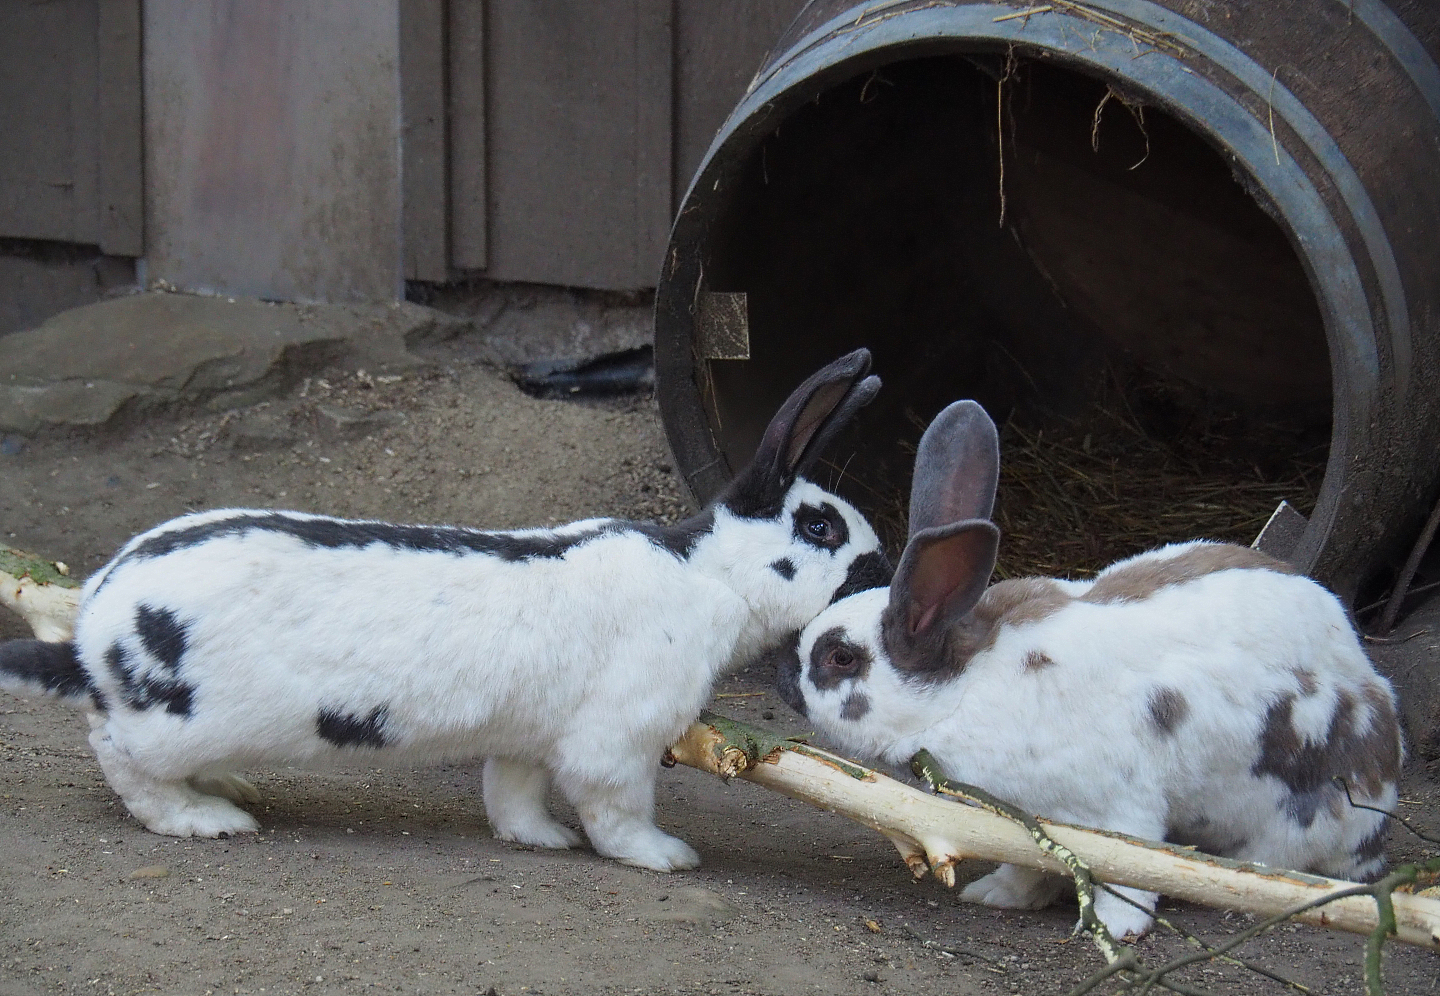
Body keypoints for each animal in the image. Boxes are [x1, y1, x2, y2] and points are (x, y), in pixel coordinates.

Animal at [0, 350, 893, 873]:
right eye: (820, 527)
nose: (882, 569)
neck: (707, 573)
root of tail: (93, 637)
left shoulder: (529, 736)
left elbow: (514, 793)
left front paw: (540, 841)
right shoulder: (617, 740)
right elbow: (615, 809)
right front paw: (667, 857)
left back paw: (226, 786)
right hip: (169, 722)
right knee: (120, 759)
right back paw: (205, 818)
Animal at [775, 399, 1403, 938]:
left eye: (840, 657)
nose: (785, 683)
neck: (964, 689)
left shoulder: (1122, 813)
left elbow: (1130, 877)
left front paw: (1118, 929)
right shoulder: (1026, 826)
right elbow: (1030, 868)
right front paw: (999, 896)